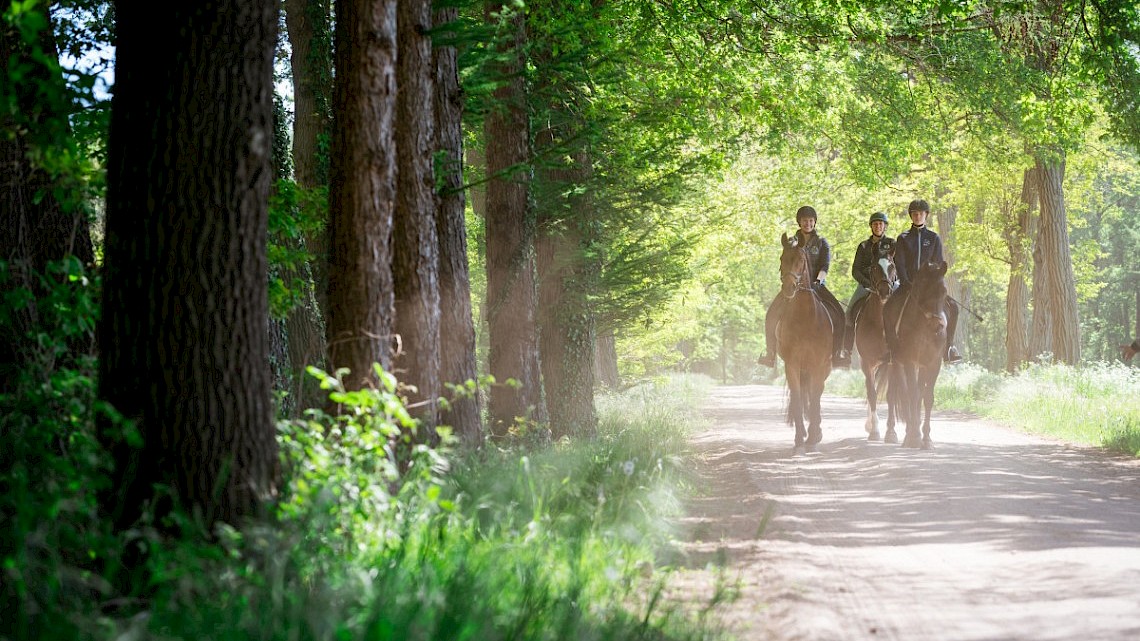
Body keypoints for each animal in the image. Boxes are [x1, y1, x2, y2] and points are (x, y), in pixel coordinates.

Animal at [775, 231, 839, 451]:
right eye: (782, 259)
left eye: (801, 260)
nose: (789, 288)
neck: (805, 318)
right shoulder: (792, 364)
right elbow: (797, 398)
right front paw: (799, 439)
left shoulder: (818, 364)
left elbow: (815, 396)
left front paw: (812, 437)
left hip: (823, 367)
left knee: (815, 394)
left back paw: (816, 431)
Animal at [852, 256, 902, 442]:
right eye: (873, 268)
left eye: (892, 266)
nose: (885, 291)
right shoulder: (867, 363)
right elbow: (872, 394)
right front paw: (874, 431)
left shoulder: (893, 362)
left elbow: (891, 395)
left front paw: (891, 432)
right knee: (870, 389)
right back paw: (870, 425)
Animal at [884, 260, 948, 449]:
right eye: (923, 287)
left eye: (944, 291)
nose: (937, 326)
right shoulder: (910, 362)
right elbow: (911, 394)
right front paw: (914, 437)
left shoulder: (933, 364)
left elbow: (927, 397)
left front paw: (926, 438)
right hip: (897, 363)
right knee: (901, 394)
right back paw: (902, 434)